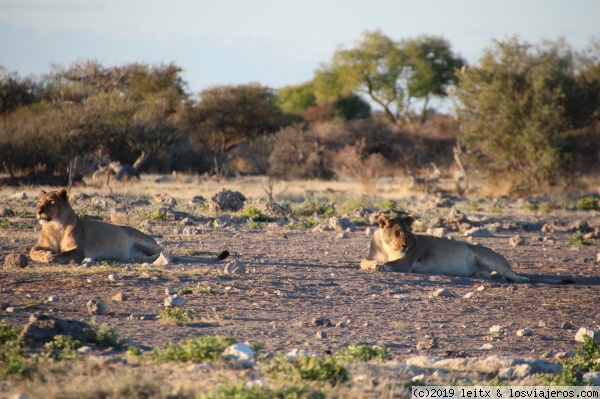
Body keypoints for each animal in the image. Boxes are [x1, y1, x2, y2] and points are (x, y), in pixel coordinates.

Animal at [30, 188, 162, 264]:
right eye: (39, 202)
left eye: (50, 201)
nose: (38, 211)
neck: (55, 226)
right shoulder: (42, 245)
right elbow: (33, 252)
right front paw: (46, 255)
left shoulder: (78, 250)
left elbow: (64, 254)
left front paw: (52, 257)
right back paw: (136, 259)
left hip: (143, 241)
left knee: (161, 251)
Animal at [360, 214, 528, 282]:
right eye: (397, 232)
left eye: (408, 233)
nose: (405, 245)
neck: (386, 247)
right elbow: (363, 261)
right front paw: (373, 264)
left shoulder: (406, 262)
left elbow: (390, 263)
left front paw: (381, 266)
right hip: (478, 271)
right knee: (490, 274)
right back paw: (496, 277)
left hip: (489, 258)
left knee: (509, 271)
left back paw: (521, 278)